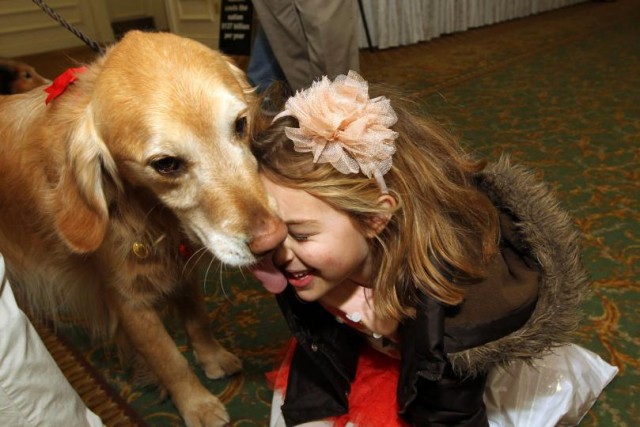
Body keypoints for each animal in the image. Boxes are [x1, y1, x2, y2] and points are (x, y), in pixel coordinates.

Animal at [0, 30, 284, 427]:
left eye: (240, 124)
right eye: (166, 164)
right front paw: (197, 405)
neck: (147, 211)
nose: (273, 239)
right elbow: (170, 360)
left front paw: (211, 357)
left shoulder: (179, 264)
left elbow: (197, 318)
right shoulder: (128, 303)